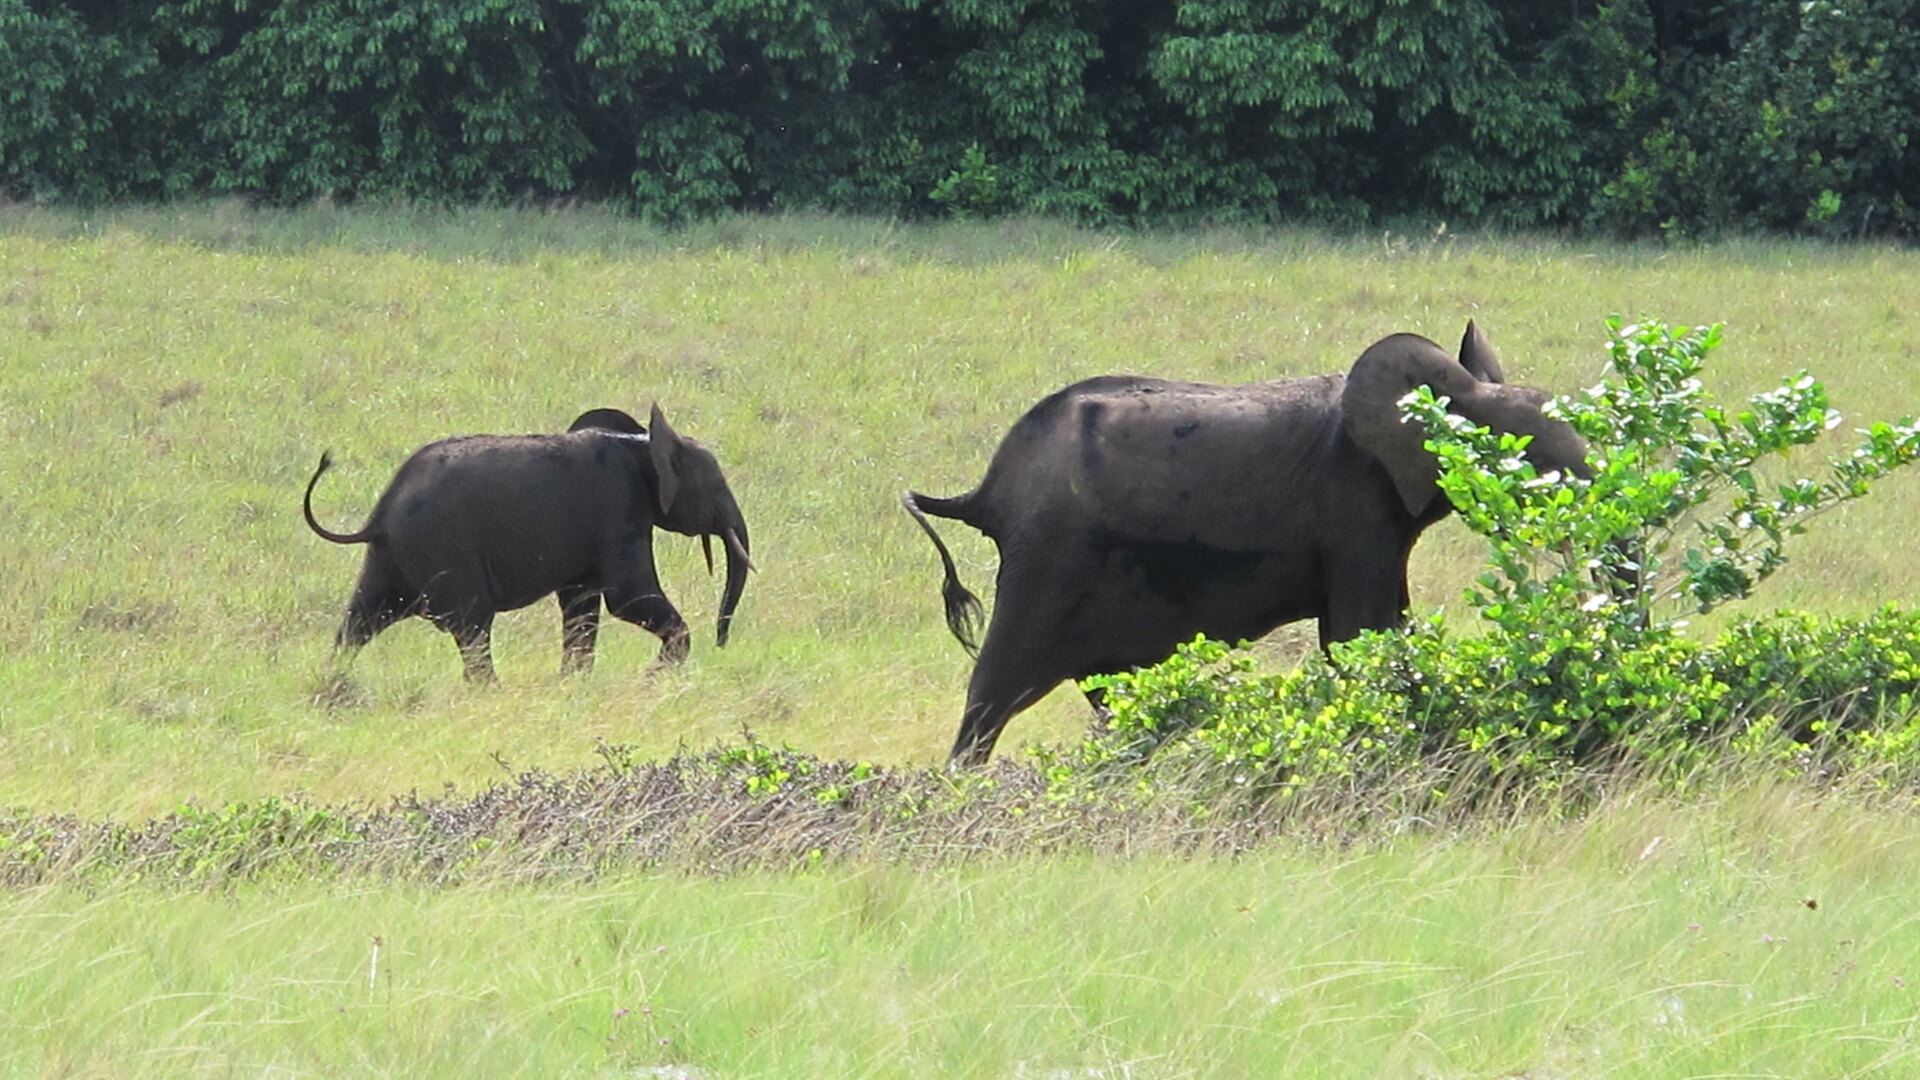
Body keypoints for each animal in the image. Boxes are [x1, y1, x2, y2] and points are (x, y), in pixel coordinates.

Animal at [303, 404, 752, 682]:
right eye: (716, 486)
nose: (722, 644)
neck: (640, 442)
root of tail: (378, 516)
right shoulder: (619, 511)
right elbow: (627, 597)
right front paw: (653, 678)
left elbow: (582, 604)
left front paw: (574, 683)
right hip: (443, 550)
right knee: (473, 626)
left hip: (392, 557)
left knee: (359, 620)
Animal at [904, 322, 1590, 765]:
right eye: (1526, 456)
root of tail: (984, 491)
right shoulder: (1355, 502)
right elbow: (1357, 635)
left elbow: (1386, 626)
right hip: (1048, 554)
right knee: (996, 689)